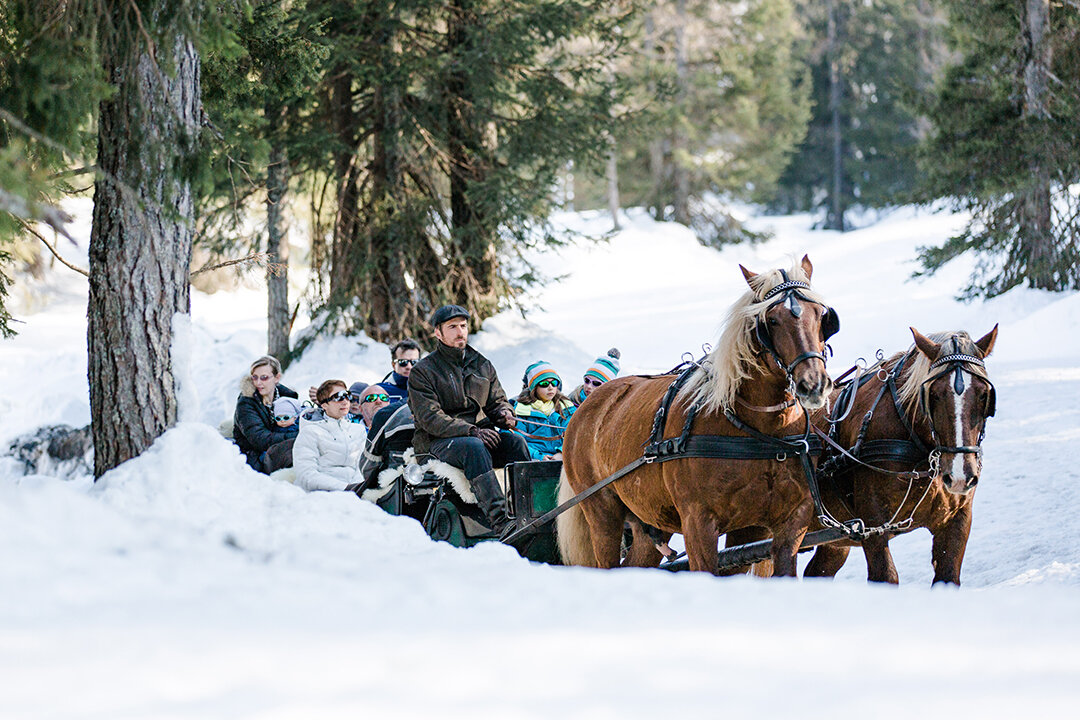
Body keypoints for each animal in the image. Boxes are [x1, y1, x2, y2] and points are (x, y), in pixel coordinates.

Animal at [561, 255, 838, 578]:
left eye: (821, 316)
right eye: (771, 320)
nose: (813, 385)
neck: (763, 433)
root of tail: (588, 406)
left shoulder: (784, 523)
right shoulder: (698, 521)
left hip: (648, 518)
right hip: (601, 509)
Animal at [807, 325, 997, 587]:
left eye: (983, 394)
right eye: (934, 394)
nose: (960, 477)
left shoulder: (957, 520)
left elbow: (947, 576)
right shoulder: (872, 527)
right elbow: (886, 576)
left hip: (836, 540)